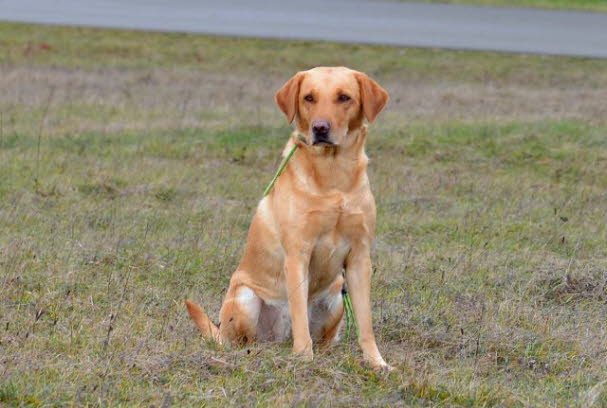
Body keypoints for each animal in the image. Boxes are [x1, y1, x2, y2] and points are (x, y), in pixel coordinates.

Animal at [185, 66, 392, 370]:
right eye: (309, 97)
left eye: (344, 97)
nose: (320, 128)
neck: (333, 175)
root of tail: (278, 339)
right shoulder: (297, 254)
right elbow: (299, 316)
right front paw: (304, 357)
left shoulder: (359, 257)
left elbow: (365, 322)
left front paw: (377, 362)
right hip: (245, 298)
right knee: (244, 342)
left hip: (336, 296)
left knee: (325, 339)